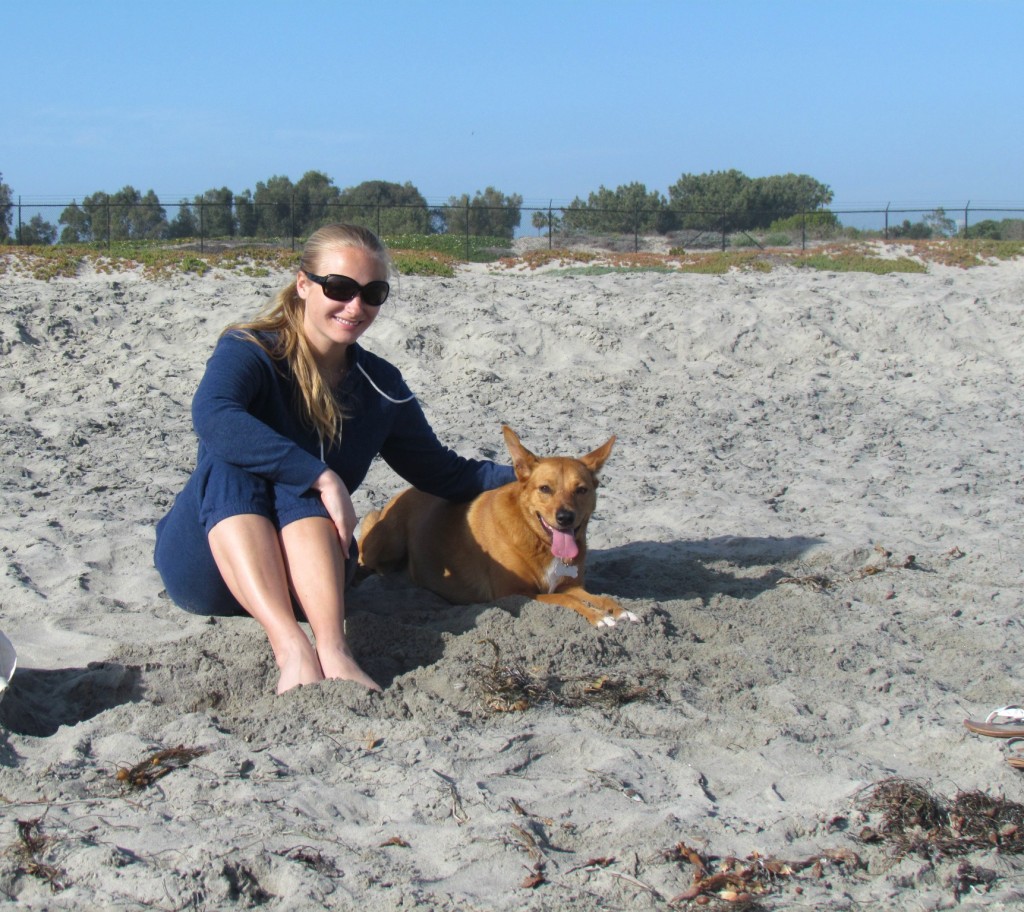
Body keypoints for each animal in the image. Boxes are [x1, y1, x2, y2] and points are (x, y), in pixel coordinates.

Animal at [356, 427, 634, 626]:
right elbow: (563, 598)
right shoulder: (514, 593)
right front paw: (598, 617)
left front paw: (620, 610)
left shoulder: (572, 584)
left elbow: (598, 597)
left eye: (582, 490)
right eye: (545, 488)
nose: (565, 517)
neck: (538, 540)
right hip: (384, 545)